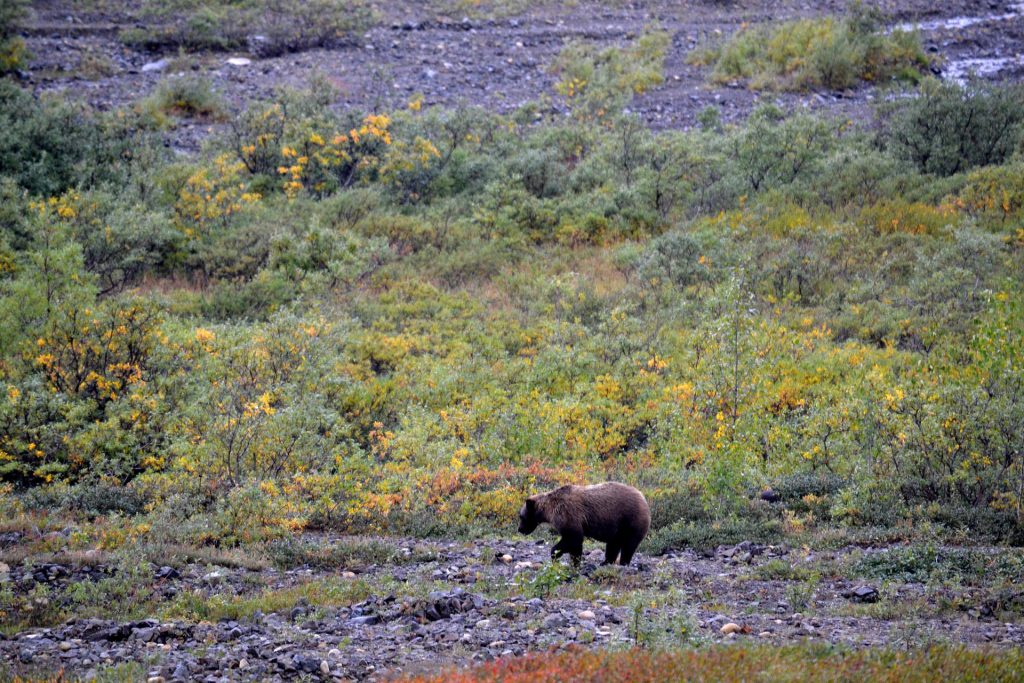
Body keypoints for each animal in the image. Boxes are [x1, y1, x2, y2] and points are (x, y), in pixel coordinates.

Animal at [516, 483, 651, 569]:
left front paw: (567, 559)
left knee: (629, 545)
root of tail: (644, 498)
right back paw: (606, 562)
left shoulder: (568, 514)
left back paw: (623, 562)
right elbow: (573, 541)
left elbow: (573, 539)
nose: (520, 529)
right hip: (618, 527)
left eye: (521, 517)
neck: (549, 510)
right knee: (613, 544)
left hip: (631, 520)